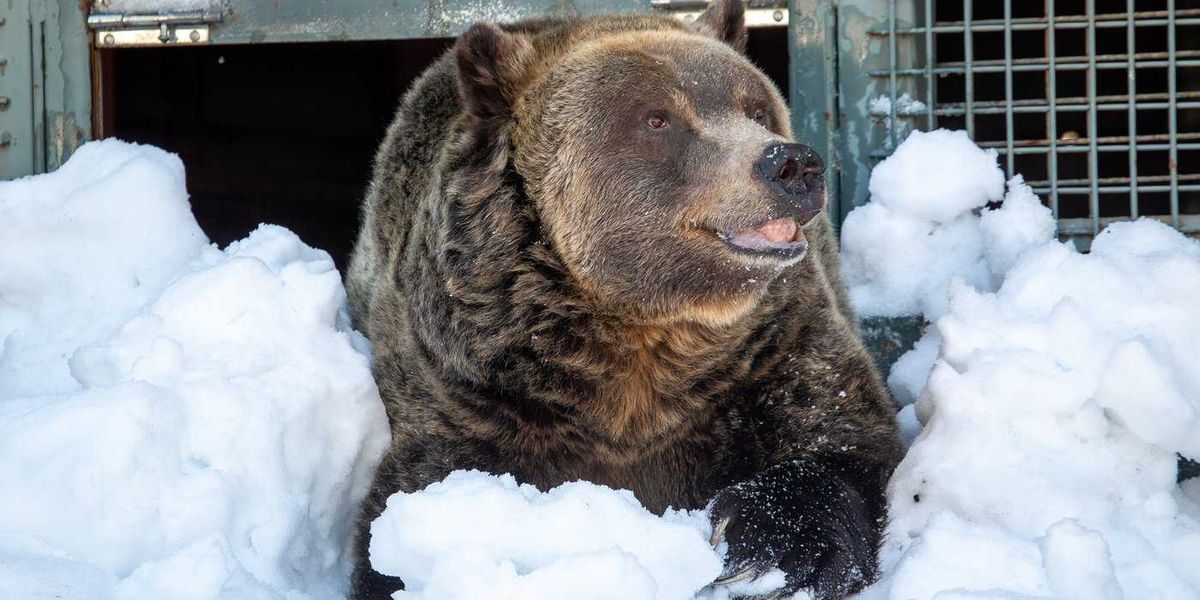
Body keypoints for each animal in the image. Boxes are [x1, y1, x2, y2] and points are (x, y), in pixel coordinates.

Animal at [346, 1, 902, 598]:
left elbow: (841, 440)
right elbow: (413, 498)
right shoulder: (470, 385)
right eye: (656, 119)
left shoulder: (770, 351)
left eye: (756, 108)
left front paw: (768, 552)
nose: (790, 164)